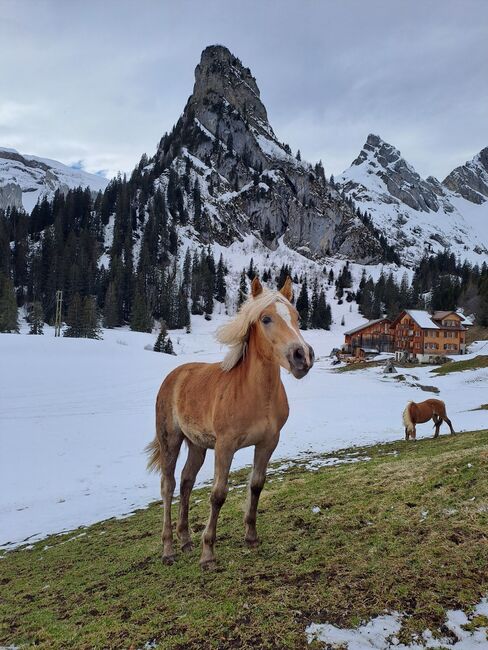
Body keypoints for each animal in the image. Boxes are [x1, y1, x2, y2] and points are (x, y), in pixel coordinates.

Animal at [145, 276, 314, 564]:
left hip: (197, 445)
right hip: (171, 440)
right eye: (266, 318)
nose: (302, 356)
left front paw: (251, 537)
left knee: (187, 482)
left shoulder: (268, 442)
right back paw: (168, 550)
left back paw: (185, 540)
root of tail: (175, 375)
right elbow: (218, 494)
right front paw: (208, 554)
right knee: (169, 486)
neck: (255, 396)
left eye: (297, 317)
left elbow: (256, 485)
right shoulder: (225, 446)